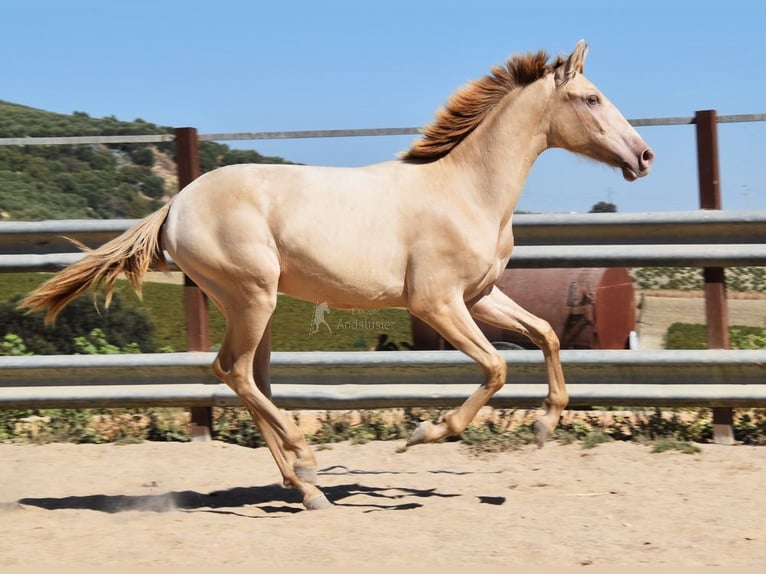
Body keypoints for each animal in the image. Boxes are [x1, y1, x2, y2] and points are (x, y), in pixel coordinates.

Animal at [18, 40, 656, 510]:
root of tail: (175, 205)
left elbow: (545, 335)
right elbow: (497, 368)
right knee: (233, 371)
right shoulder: (435, 304)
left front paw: (546, 426)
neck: (466, 190)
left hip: (254, 304)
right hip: (252, 297)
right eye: (592, 98)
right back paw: (306, 458)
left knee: (250, 378)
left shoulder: (479, 297)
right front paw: (422, 435)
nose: (644, 156)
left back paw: (306, 489)